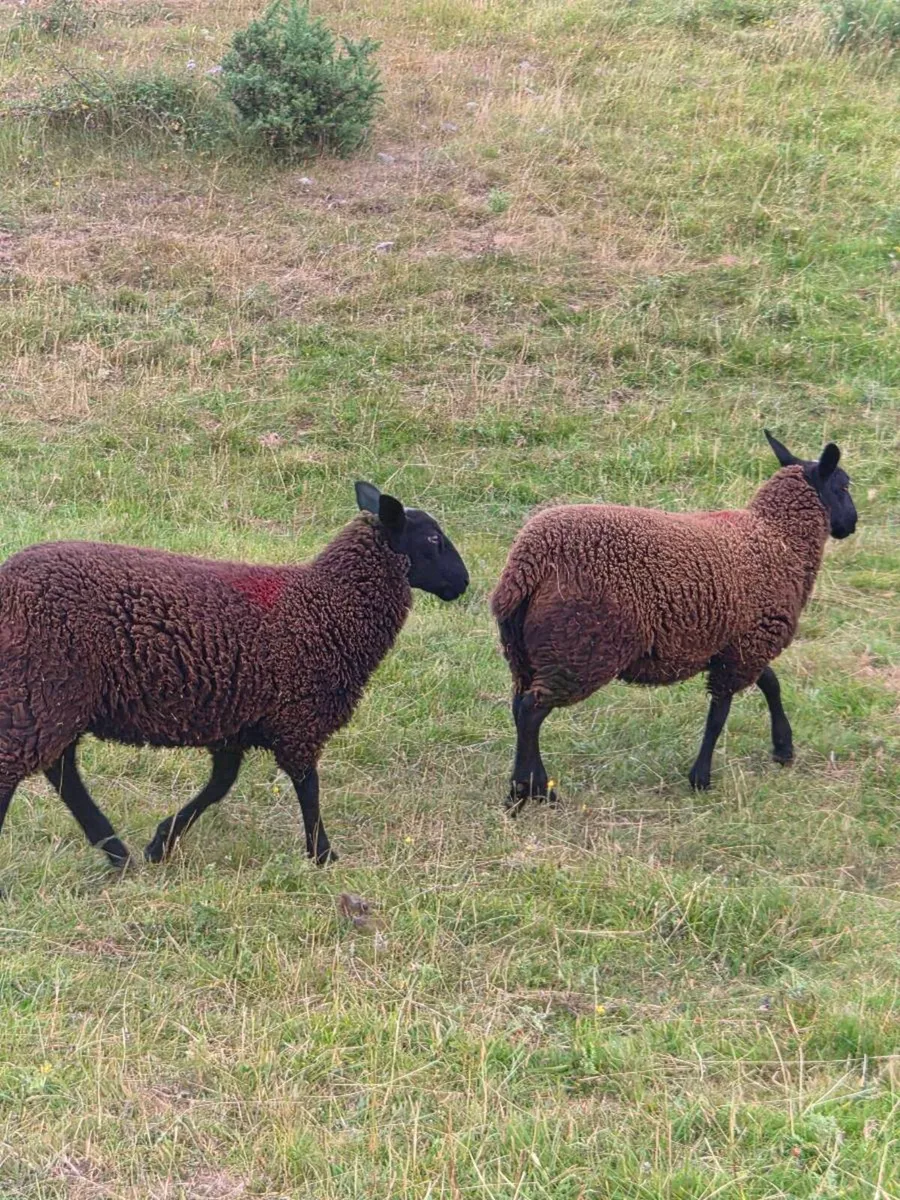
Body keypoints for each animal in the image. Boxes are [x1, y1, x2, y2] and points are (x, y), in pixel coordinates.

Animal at [0, 481, 469, 869]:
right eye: (432, 539)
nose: (463, 583)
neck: (328, 605)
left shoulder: (237, 718)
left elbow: (219, 786)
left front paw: (160, 843)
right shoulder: (299, 717)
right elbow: (309, 788)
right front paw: (323, 855)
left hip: (54, 695)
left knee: (62, 772)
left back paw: (118, 854)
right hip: (41, 685)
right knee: (20, 767)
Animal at [491, 431, 858, 810]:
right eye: (844, 486)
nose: (852, 523)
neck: (780, 538)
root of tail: (526, 565)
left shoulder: (740, 643)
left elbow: (770, 684)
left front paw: (783, 748)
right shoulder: (748, 645)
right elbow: (719, 714)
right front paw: (701, 777)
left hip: (526, 651)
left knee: (519, 707)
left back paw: (531, 788)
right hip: (578, 648)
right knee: (531, 712)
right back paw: (529, 792)